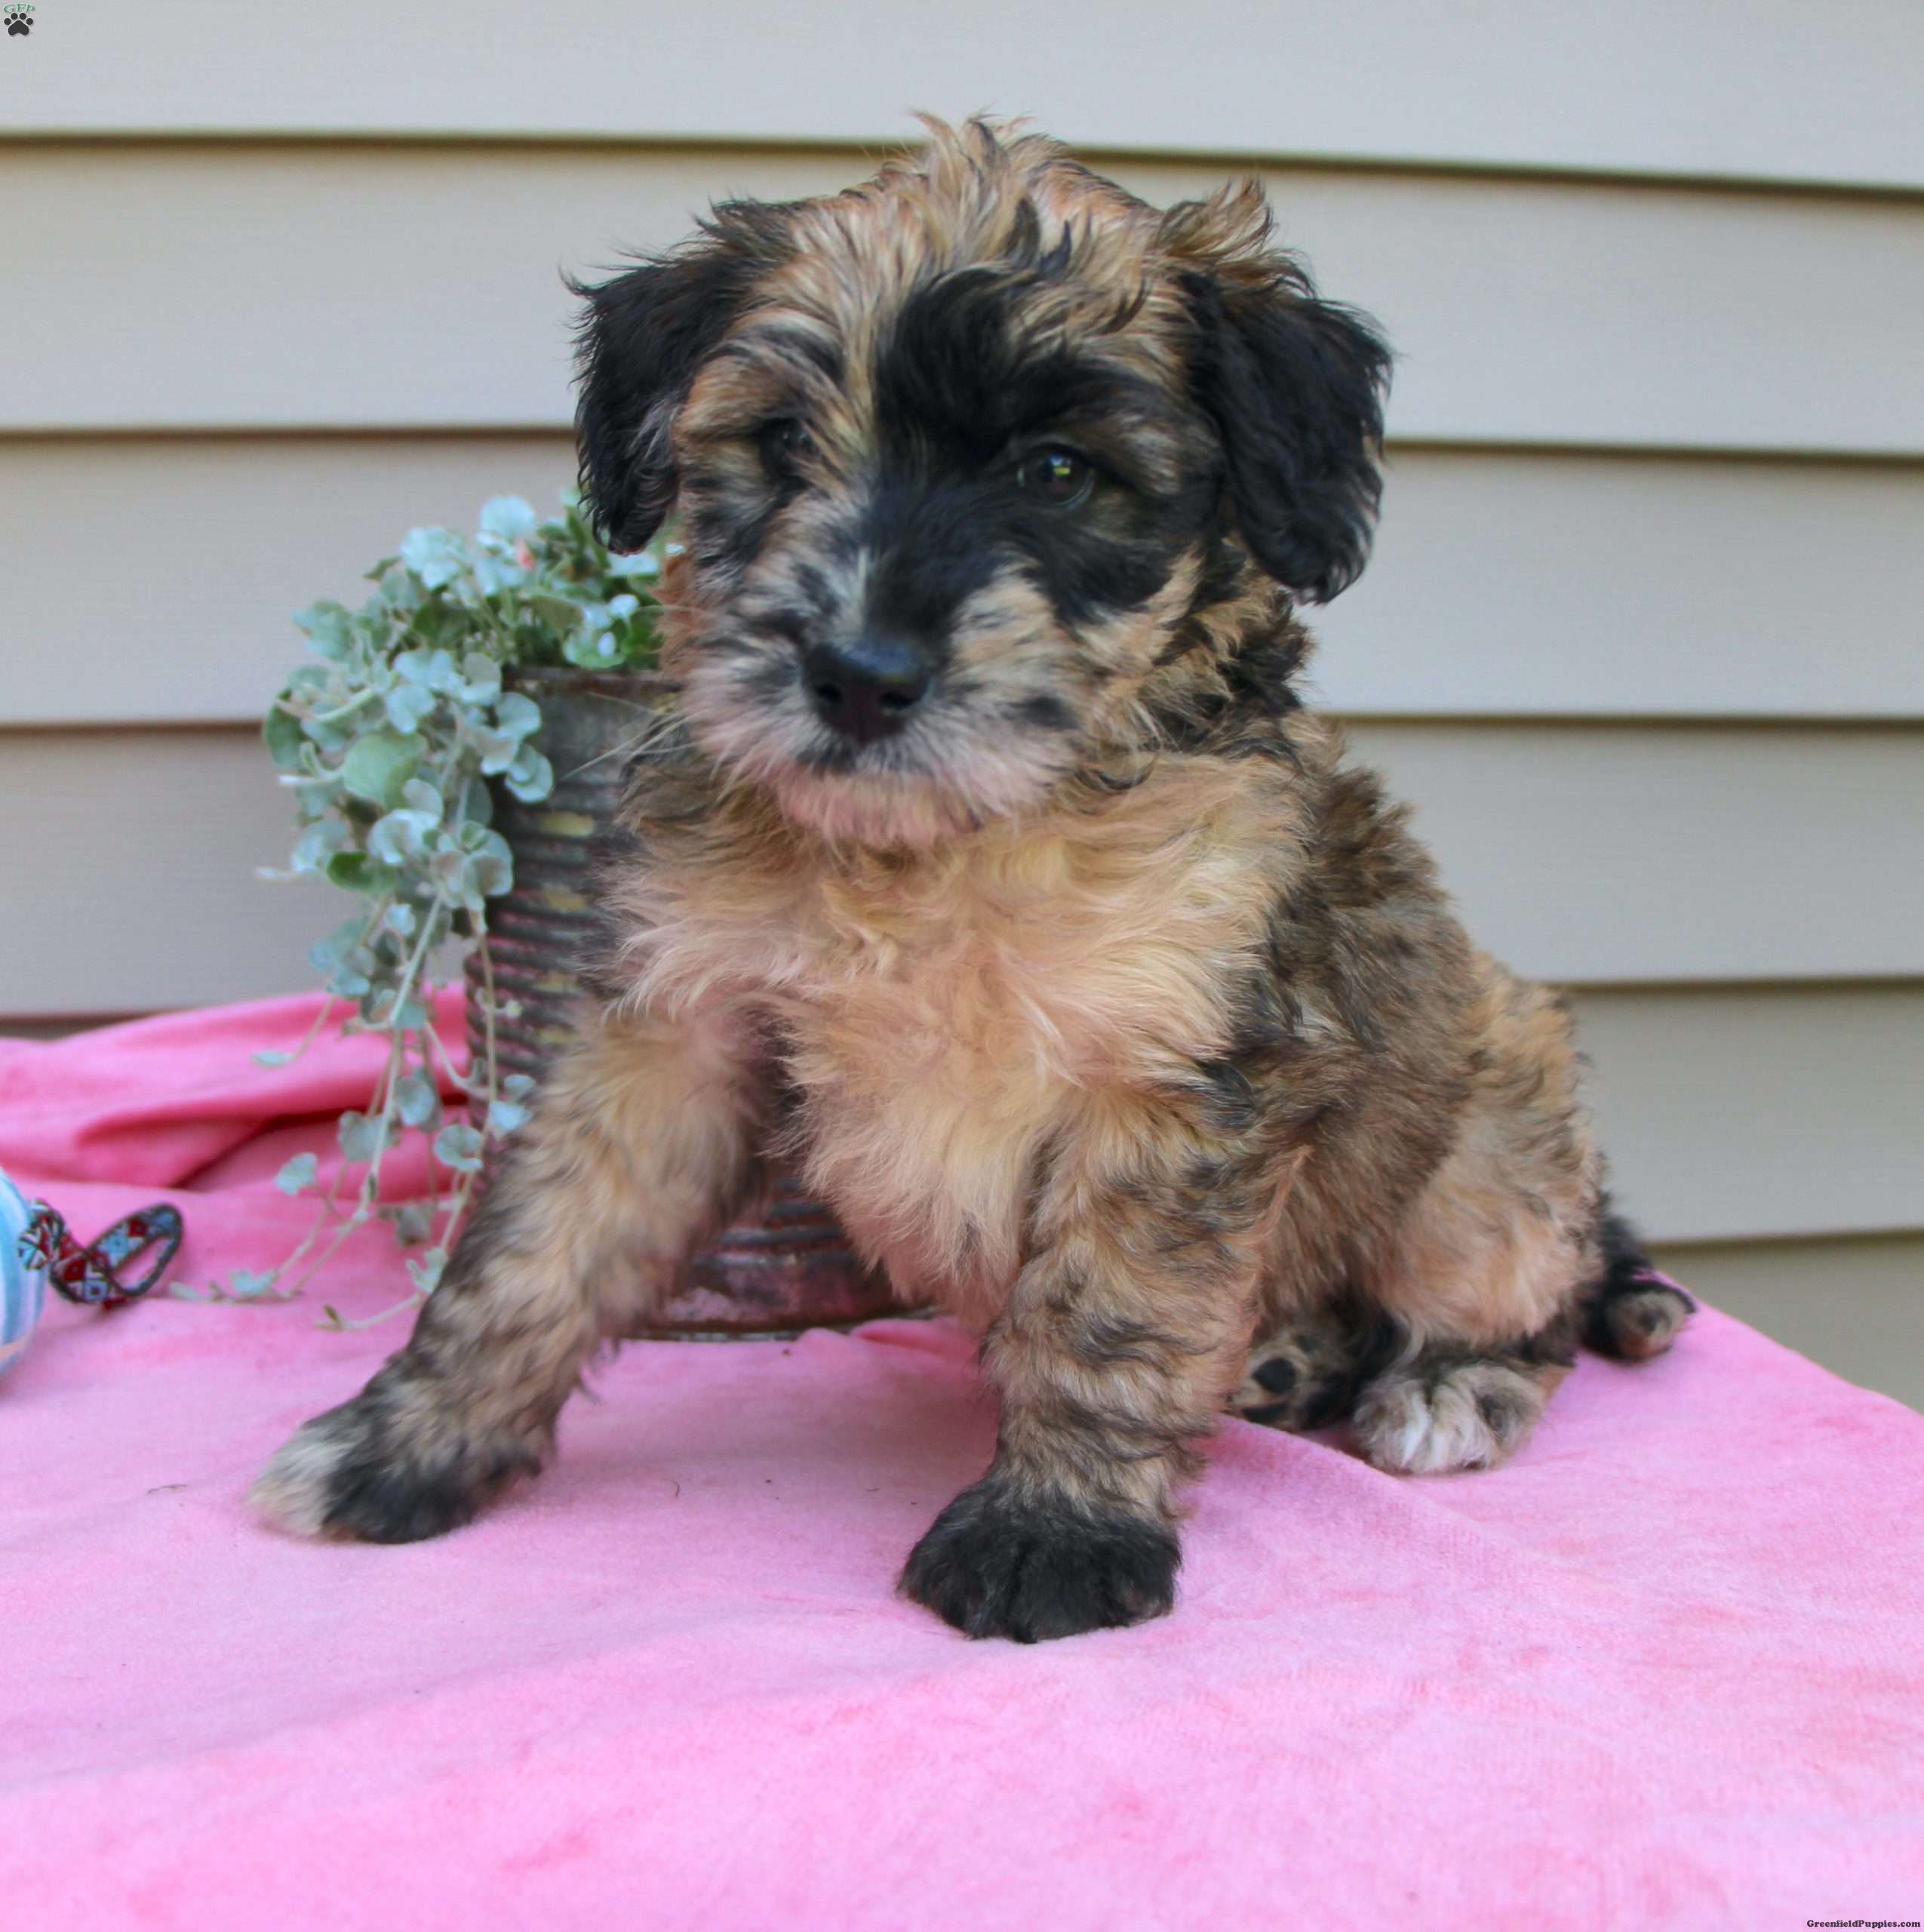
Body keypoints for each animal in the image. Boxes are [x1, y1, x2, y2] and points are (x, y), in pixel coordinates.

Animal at [250, 116, 1684, 1646]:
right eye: (780, 442)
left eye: (1055, 472)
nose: (859, 676)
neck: (942, 847)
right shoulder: (672, 1030)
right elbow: (537, 1245)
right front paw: (408, 1446)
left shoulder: (1167, 1081)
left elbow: (1104, 1316)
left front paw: (1050, 1530)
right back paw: (1292, 1362)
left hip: (1489, 1159)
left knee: (1537, 1301)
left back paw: (1444, 1384)